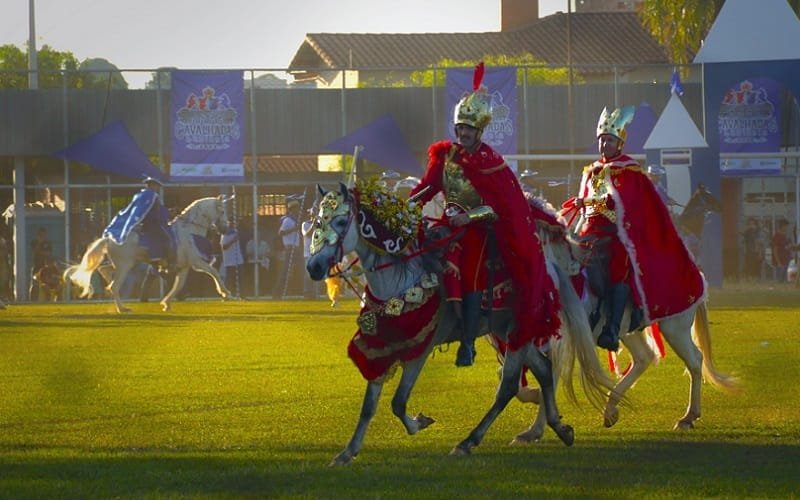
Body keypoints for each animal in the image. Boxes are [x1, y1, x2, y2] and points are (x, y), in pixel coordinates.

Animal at [64, 195, 233, 312]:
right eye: (222, 211)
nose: (225, 228)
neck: (190, 231)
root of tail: (109, 238)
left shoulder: (184, 267)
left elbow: (178, 285)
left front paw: (166, 303)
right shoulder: (197, 262)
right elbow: (214, 272)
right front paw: (226, 293)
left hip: (123, 264)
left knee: (104, 270)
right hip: (125, 266)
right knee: (115, 286)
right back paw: (122, 308)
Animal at [306, 182, 612, 466]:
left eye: (341, 222)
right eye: (317, 222)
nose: (313, 267)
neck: (400, 279)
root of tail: (550, 268)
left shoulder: (420, 349)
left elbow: (398, 402)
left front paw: (420, 421)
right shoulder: (382, 345)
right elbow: (369, 406)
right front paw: (347, 453)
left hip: (518, 331)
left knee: (509, 385)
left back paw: (468, 441)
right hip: (509, 331)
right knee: (545, 370)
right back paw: (559, 428)